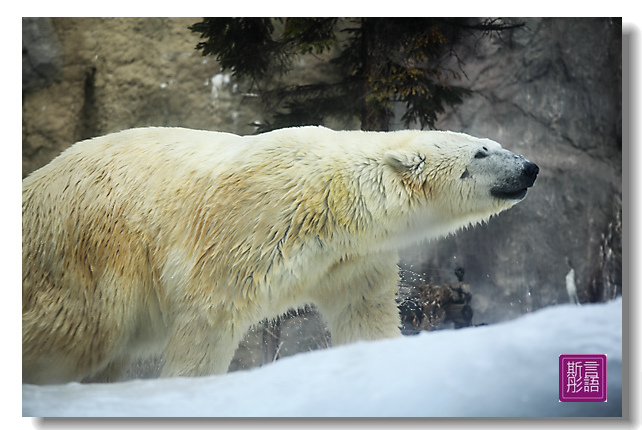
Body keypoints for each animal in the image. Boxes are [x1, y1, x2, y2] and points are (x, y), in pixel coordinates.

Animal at [21, 126, 536, 384]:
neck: (334, 196)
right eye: (482, 152)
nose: (530, 168)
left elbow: (364, 312)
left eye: (493, 143)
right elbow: (209, 316)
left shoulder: (351, 258)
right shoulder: (247, 226)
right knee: (79, 330)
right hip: (92, 250)